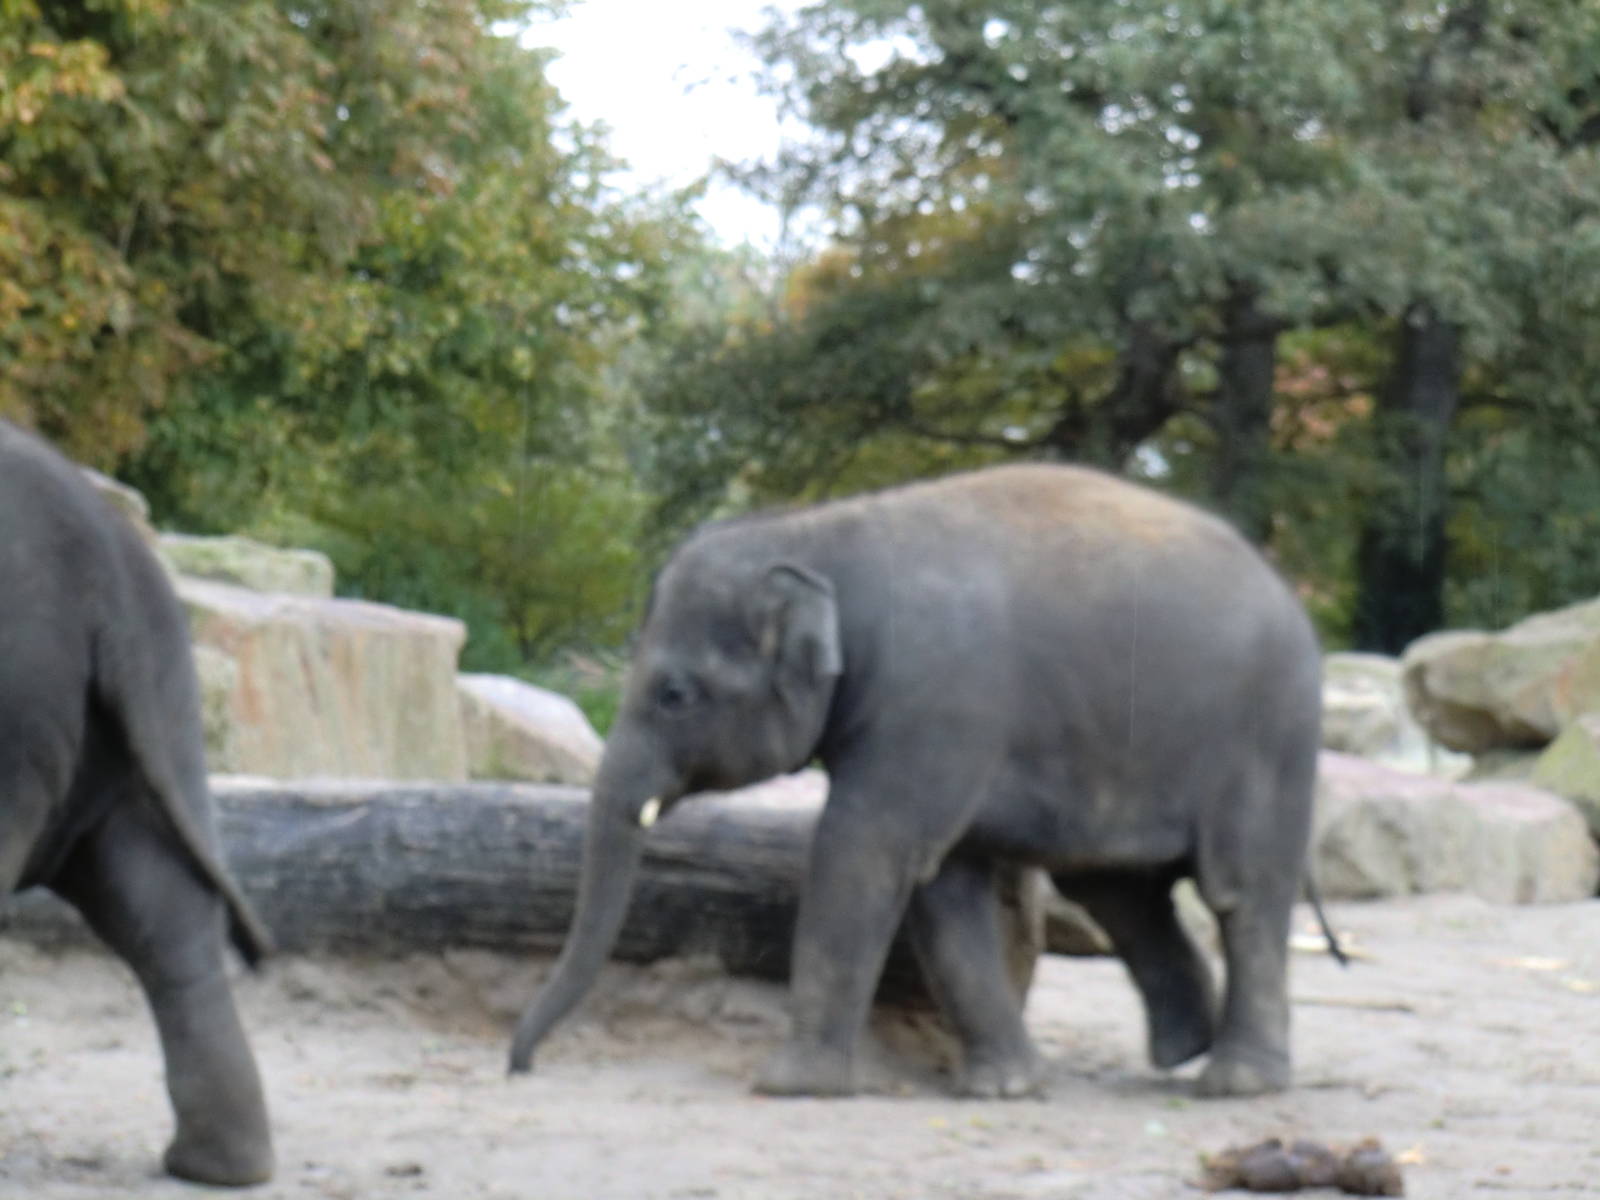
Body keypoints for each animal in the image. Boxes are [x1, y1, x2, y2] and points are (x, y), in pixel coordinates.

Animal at [509, 463, 1329, 1100]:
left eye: (674, 695)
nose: (520, 1066)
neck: (819, 535)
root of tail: (1290, 595)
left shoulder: (933, 705)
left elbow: (862, 850)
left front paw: (788, 1083)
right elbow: (941, 887)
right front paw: (1002, 1089)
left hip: (1269, 740)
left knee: (1240, 889)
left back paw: (1236, 1082)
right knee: (1117, 890)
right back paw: (1183, 1050)